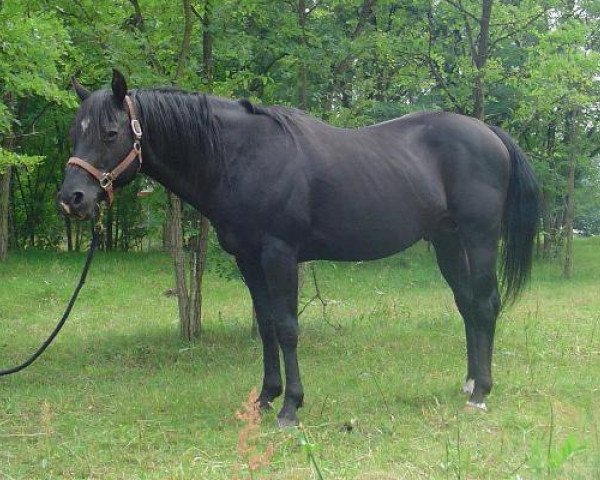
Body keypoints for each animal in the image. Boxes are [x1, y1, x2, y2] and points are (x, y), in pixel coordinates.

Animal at [59, 70, 540, 424]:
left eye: (110, 132)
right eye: (74, 132)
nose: (72, 198)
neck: (240, 156)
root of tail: (489, 132)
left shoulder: (280, 255)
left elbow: (288, 327)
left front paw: (291, 407)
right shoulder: (249, 260)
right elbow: (267, 325)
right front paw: (265, 398)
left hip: (479, 238)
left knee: (485, 304)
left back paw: (481, 392)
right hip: (446, 241)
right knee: (467, 305)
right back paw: (469, 382)